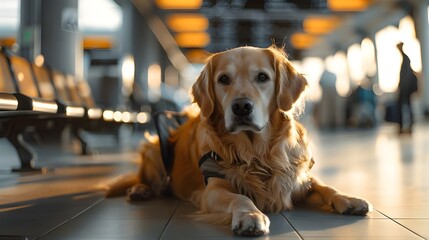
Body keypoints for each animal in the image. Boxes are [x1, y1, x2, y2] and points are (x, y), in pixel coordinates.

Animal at [105, 45, 372, 236]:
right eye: (223, 79)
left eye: (263, 77)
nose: (242, 107)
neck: (257, 153)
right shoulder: (212, 189)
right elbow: (241, 197)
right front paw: (250, 216)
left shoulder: (296, 179)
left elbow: (325, 186)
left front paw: (349, 199)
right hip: (153, 150)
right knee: (146, 180)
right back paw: (139, 189)